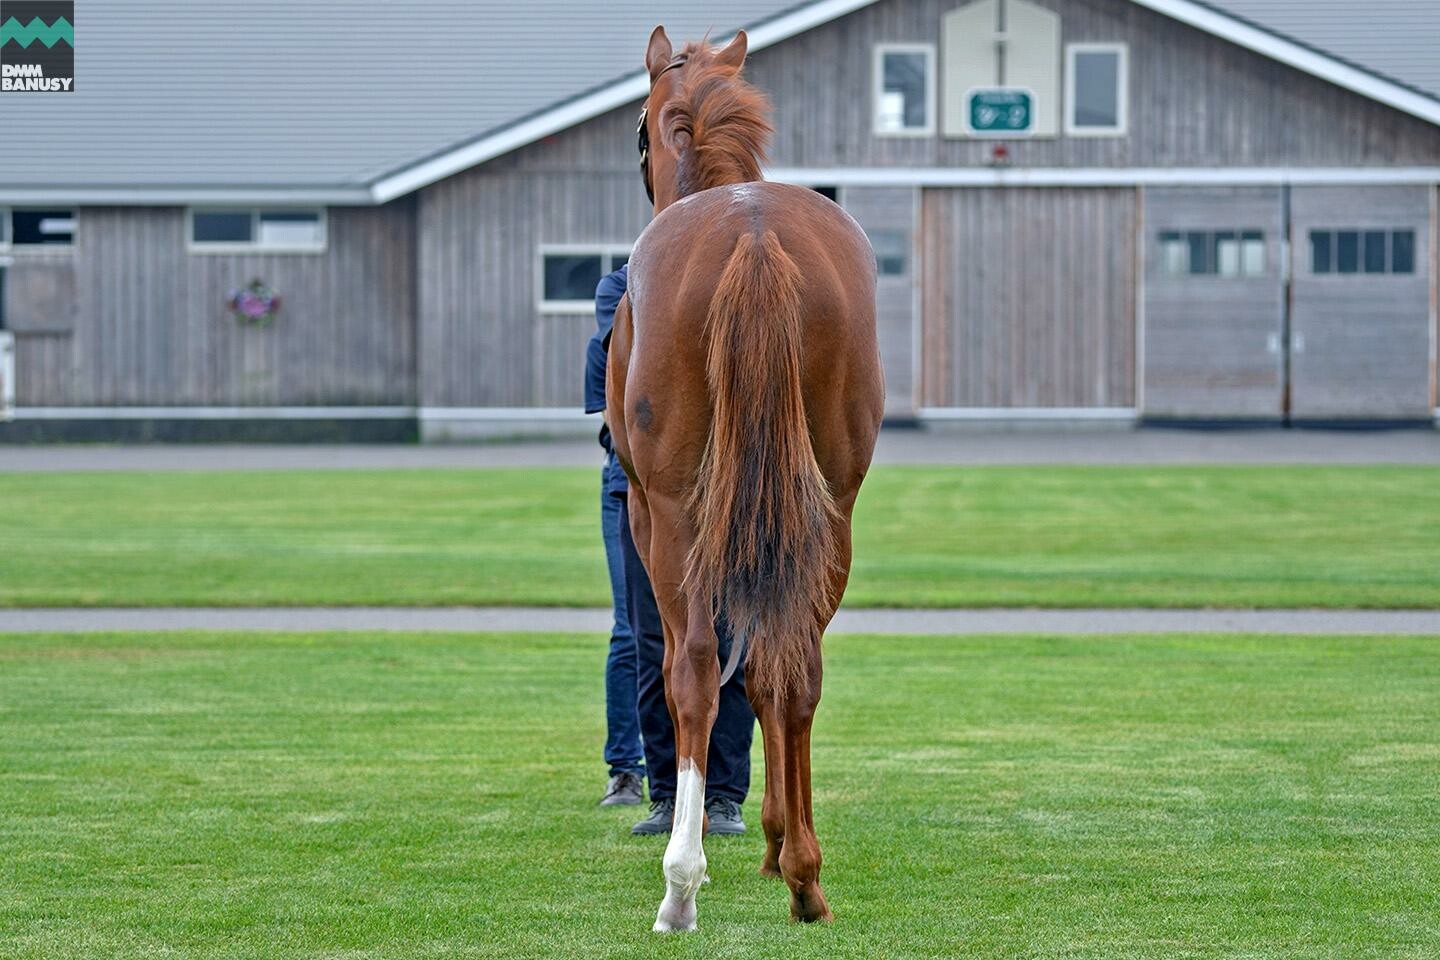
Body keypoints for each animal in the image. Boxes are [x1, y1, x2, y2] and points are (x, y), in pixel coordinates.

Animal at [604, 28, 881, 932]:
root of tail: (754, 235)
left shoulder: (650, 513)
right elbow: (764, 669)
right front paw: (775, 843)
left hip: (675, 519)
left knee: (693, 668)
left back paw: (681, 885)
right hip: (829, 514)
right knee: (794, 667)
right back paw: (803, 876)